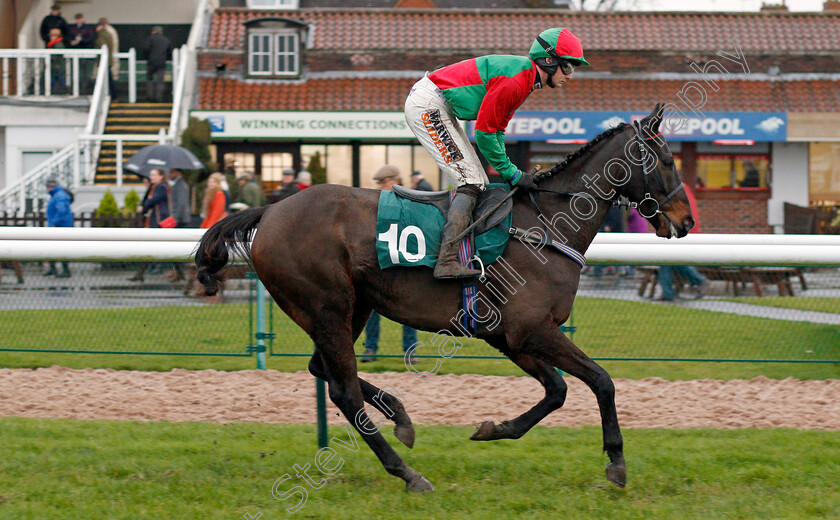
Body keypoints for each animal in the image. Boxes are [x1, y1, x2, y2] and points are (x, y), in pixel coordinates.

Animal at [197, 103, 696, 490]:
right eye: (666, 160)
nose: (686, 220)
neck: (546, 224)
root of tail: (271, 210)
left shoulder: (510, 336)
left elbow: (556, 391)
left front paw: (493, 429)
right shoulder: (532, 329)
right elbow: (601, 380)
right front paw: (616, 462)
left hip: (352, 307)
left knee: (322, 368)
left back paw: (400, 417)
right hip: (327, 306)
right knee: (342, 390)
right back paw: (406, 472)